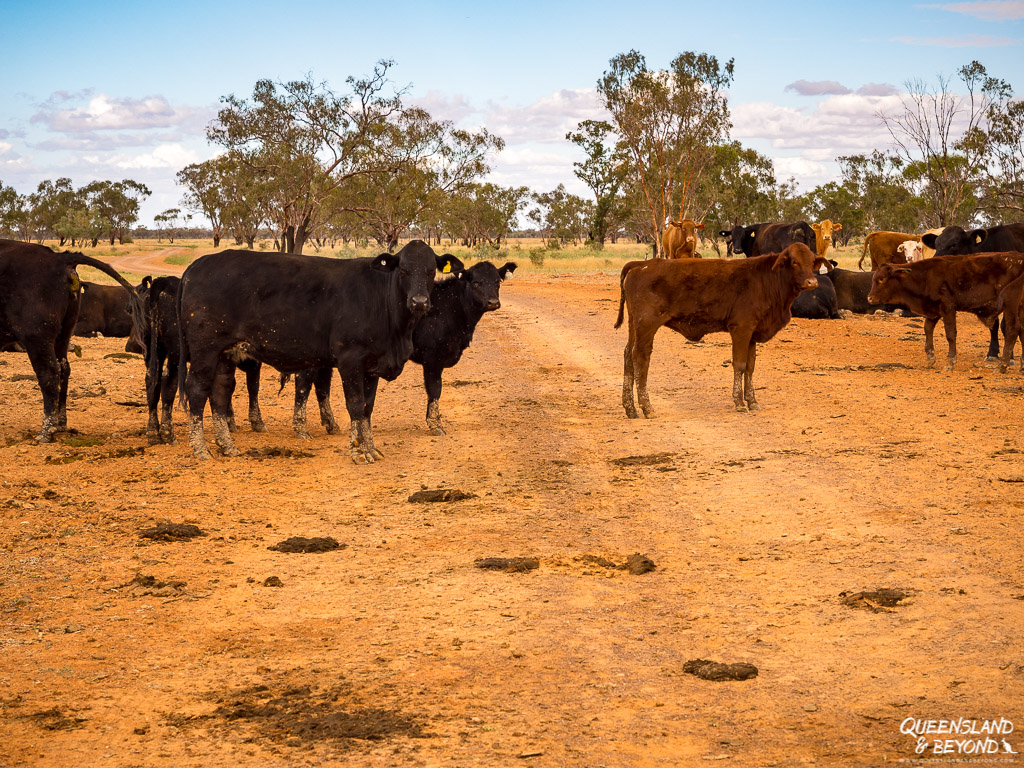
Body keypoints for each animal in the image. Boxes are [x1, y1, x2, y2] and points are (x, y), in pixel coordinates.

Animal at [178, 240, 462, 462]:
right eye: (403, 270)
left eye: (431, 271)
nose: (419, 302)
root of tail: (199, 264)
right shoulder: (350, 362)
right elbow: (355, 406)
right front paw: (358, 451)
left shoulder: (372, 367)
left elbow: (367, 408)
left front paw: (371, 448)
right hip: (205, 352)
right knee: (197, 391)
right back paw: (201, 449)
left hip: (225, 355)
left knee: (220, 393)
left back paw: (227, 446)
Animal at [610, 244, 827, 415]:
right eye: (794, 262)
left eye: (811, 262)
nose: (812, 282)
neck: (766, 279)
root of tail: (641, 264)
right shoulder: (740, 329)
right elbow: (739, 365)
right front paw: (739, 403)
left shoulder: (752, 335)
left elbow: (750, 367)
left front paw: (752, 401)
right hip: (647, 325)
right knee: (640, 358)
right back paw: (646, 407)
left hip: (634, 326)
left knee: (628, 356)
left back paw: (630, 408)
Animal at [868, 253, 1024, 370]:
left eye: (881, 279)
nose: (869, 298)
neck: (925, 276)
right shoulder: (933, 310)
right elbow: (927, 329)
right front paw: (930, 357)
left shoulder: (948, 308)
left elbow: (950, 334)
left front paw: (950, 361)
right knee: (1022, 331)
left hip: (1010, 304)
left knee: (1012, 330)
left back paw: (1003, 366)